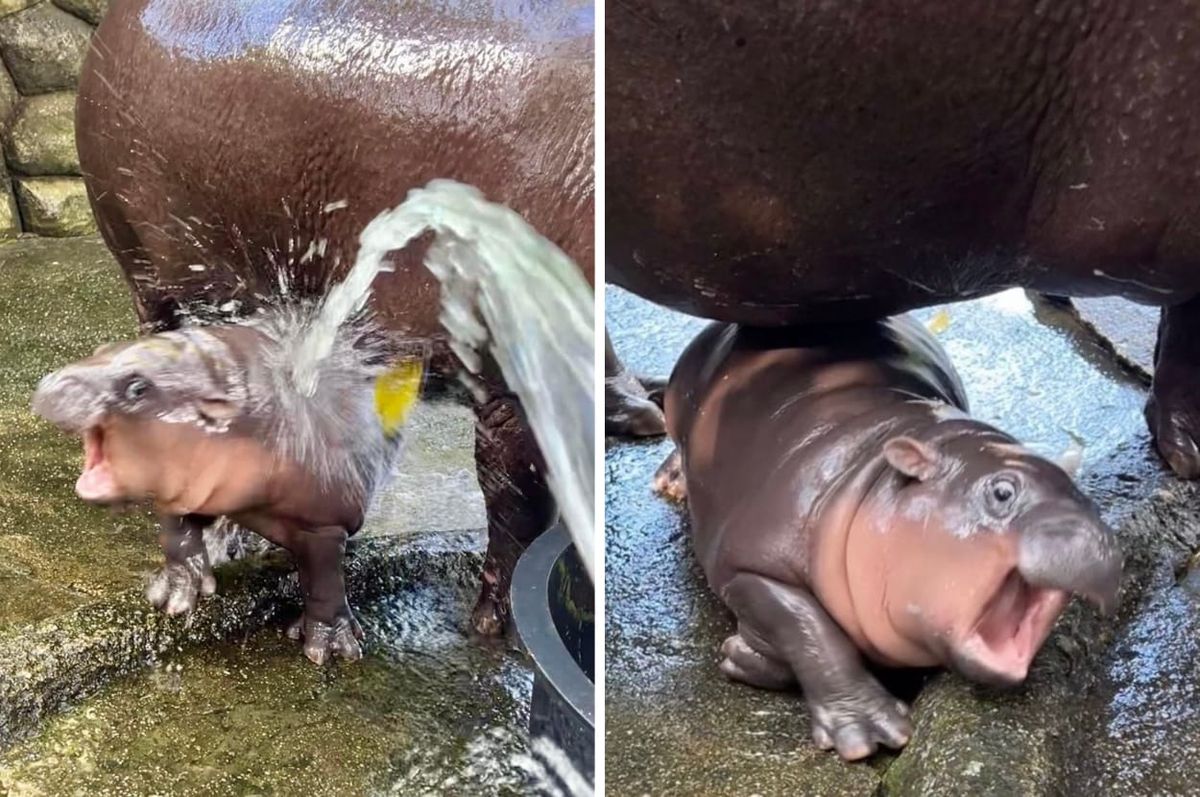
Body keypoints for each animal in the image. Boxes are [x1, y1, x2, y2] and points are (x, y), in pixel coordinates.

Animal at [654, 316, 1123, 760]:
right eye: (1002, 491)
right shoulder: (748, 565)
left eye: (1083, 495)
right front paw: (869, 732)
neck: (873, 473)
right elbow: (810, 628)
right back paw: (672, 482)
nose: (1100, 541)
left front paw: (744, 656)